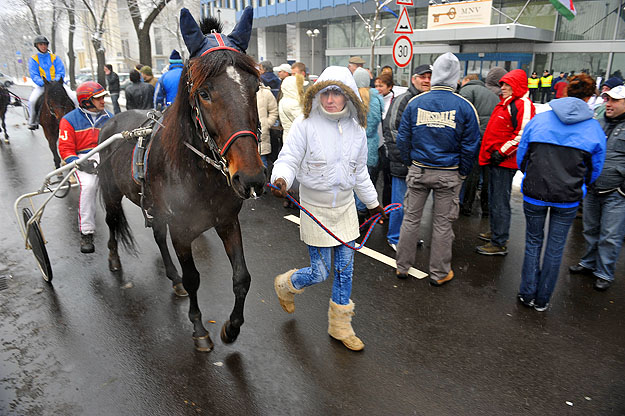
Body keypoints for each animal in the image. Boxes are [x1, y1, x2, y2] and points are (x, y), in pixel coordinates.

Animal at [97, 14, 266, 352]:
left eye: (255, 87)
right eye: (204, 92)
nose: (251, 177)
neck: (200, 175)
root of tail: (110, 122)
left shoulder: (227, 221)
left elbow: (242, 277)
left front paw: (232, 327)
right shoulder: (182, 231)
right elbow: (194, 279)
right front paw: (200, 328)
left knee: (158, 237)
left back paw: (171, 277)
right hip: (111, 193)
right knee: (111, 221)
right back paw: (113, 257)